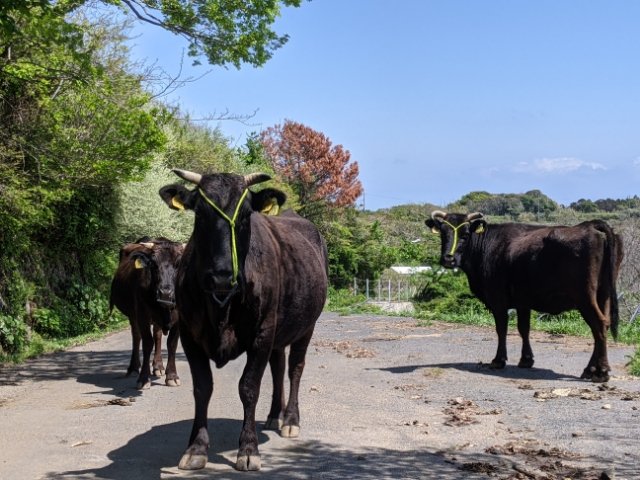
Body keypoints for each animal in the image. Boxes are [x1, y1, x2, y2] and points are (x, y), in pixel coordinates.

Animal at [109, 237, 184, 389]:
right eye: (153, 264)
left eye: (179, 263)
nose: (165, 293)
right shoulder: (142, 314)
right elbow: (147, 343)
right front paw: (143, 378)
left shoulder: (178, 318)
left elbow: (172, 344)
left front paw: (172, 376)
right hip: (133, 315)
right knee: (137, 337)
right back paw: (133, 368)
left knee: (157, 335)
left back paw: (158, 366)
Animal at [159, 169, 329, 472]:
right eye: (199, 212)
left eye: (247, 214)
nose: (221, 276)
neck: (222, 305)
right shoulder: (190, 335)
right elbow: (202, 388)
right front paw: (196, 448)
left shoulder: (261, 333)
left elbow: (249, 387)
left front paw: (248, 449)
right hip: (278, 332)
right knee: (278, 366)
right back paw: (274, 415)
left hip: (306, 326)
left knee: (294, 368)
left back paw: (290, 419)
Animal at [425, 211, 623, 383]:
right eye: (443, 233)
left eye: (465, 234)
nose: (448, 259)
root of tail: (589, 225)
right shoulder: (523, 301)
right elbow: (524, 328)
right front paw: (526, 359)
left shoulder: (497, 298)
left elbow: (502, 329)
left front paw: (498, 360)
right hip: (603, 294)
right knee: (603, 326)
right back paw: (590, 370)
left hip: (585, 297)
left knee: (598, 325)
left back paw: (600, 372)